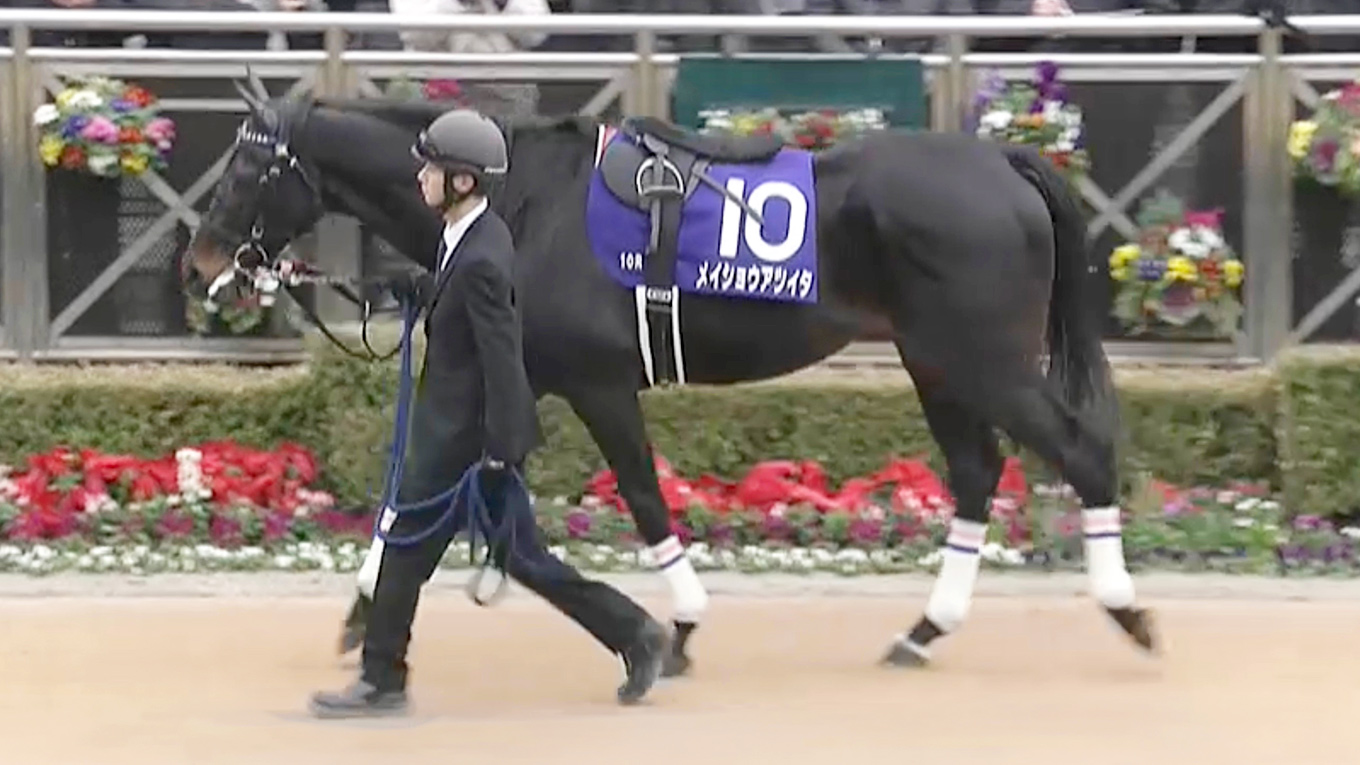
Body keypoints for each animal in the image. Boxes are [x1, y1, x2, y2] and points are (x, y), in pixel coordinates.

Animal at [183, 78, 1157, 677]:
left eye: (248, 167)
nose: (200, 265)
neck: (521, 200)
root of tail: (1004, 161)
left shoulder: (596, 382)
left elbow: (645, 494)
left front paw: (679, 622)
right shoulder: (516, 374)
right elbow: (419, 493)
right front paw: (361, 609)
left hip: (985, 358)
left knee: (1083, 450)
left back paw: (1125, 607)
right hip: (938, 361)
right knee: (976, 470)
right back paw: (923, 630)